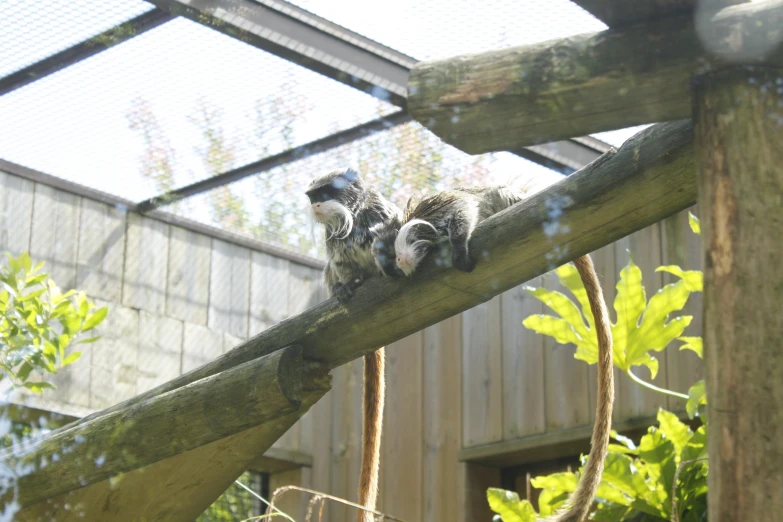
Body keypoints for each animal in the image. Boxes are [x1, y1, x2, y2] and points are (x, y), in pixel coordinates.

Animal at [306, 167, 402, 520]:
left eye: (324, 193)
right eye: (312, 197)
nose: (315, 205)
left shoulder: (381, 214)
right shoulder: (335, 244)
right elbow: (340, 262)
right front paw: (347, 285)